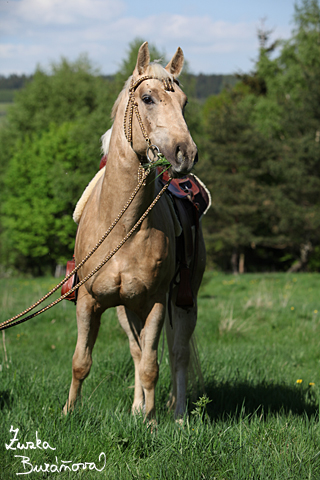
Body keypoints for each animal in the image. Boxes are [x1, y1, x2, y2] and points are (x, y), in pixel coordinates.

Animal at [63, 42, 205, 420]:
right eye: (147, 98)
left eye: (184, 101)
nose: (185, 153)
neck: (123, 226)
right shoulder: (89, 301)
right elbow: (81, 361)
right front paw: (68, 412)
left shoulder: (156, 302)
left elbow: (153, 366)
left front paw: (153, 423)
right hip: (128, 310)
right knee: (137, 349)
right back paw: (138, 408)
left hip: (183, 301)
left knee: (177, 354)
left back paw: (178, 416)